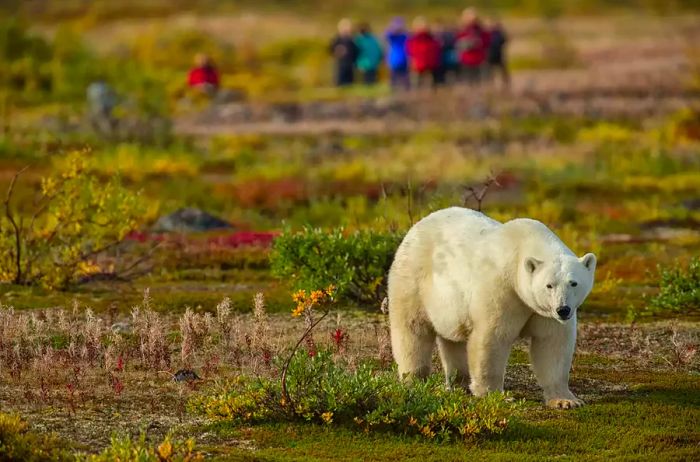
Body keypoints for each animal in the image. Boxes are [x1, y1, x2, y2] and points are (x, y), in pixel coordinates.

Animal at [388, 208, 596, 410]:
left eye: (573, 283)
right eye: (549, 285)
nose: (563, 309)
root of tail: (416, 227)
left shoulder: (544, 313)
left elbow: (553, 343)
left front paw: (566, 400)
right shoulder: (503, 289)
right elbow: (492, 338)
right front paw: (495, 396)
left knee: (454, 339)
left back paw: (459, 383)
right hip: (413, 280)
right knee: (413, 330)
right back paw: (414, 380)